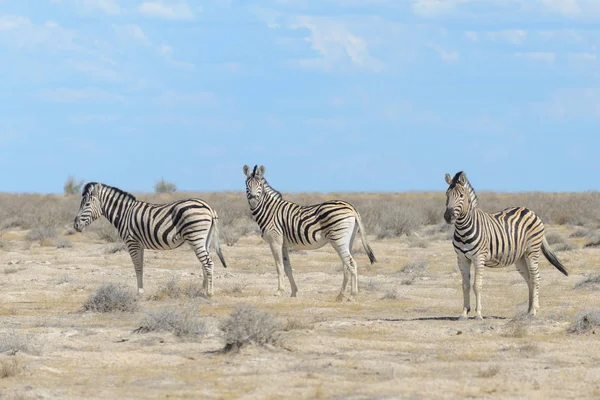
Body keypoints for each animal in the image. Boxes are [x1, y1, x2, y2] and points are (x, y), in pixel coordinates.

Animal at [73, 183, 227, 296]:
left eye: (86, 204)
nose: (75, 225)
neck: (124, 214)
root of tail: (208, 207)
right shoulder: (139, 244)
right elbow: (141, 267)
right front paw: (141, 290)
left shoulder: (132, 243)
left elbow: (137, 267)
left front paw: (139, 292)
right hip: (204, 239)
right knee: (204, 263)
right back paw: (202, 289)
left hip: (195, 237)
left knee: (208, 263)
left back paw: (209, 293)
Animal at [243, 163, 376, 300]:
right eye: (246, 184)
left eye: (259, 184)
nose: (253, 200)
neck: (269, 211)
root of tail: (351, 207)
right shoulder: (283, 244)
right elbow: (287, 267)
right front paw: (293, 292)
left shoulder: (275, 241)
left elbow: (279, 266)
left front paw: (279, 291)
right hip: (348, 239)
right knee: (346, 265)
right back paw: (340, 295)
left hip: (338, 239)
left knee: (352, 264)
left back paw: (352, 295)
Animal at [446, 170, 568, 320]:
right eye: (446, 195)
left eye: (461, 196)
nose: (448, 216)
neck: (463, 229)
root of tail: (531, 211)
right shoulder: (461, 259)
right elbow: (465, 285)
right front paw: (464, 313)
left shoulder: (479, 258)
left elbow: (477, 285)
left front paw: (478, 314)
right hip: (520, 257)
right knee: (529, 280)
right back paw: (528, 310)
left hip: (532, 251)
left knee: (536, 278)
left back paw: (534, 310)